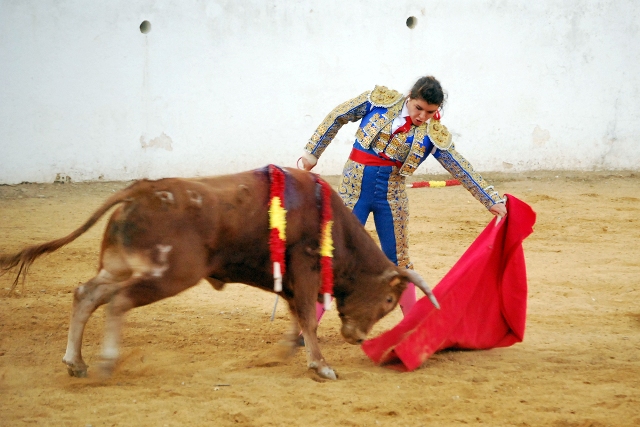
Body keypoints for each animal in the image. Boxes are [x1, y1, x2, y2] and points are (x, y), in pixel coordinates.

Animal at [0, 167, 438, 382]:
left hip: (119, 265)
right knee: (118, 301)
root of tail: (142, 190)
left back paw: (76, 363)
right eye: (388, 300)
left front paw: (289, 351)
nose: (357, 337)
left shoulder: (291, 281)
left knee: (86, 294)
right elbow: (309, 319)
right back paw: (106, 362)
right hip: (170, 274)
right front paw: (322, 366)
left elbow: (298, 318)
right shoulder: (305, 268)